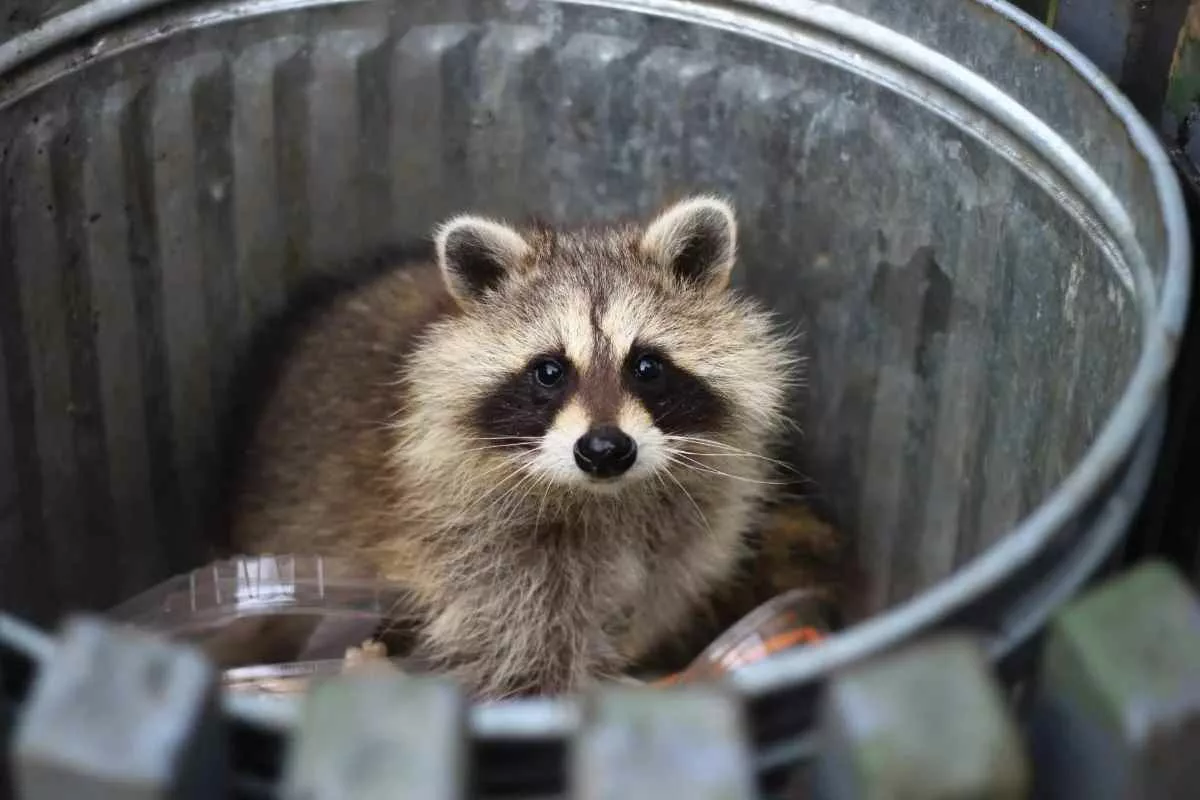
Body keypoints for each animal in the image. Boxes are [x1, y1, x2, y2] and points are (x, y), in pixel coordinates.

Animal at [229, 195, 803, 699]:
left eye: (647, 366)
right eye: (549, 371)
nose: (604, 449)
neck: (604, 498)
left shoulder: (687, 526)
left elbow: (657, 592)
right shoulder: (470, 540)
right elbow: (518, 639)